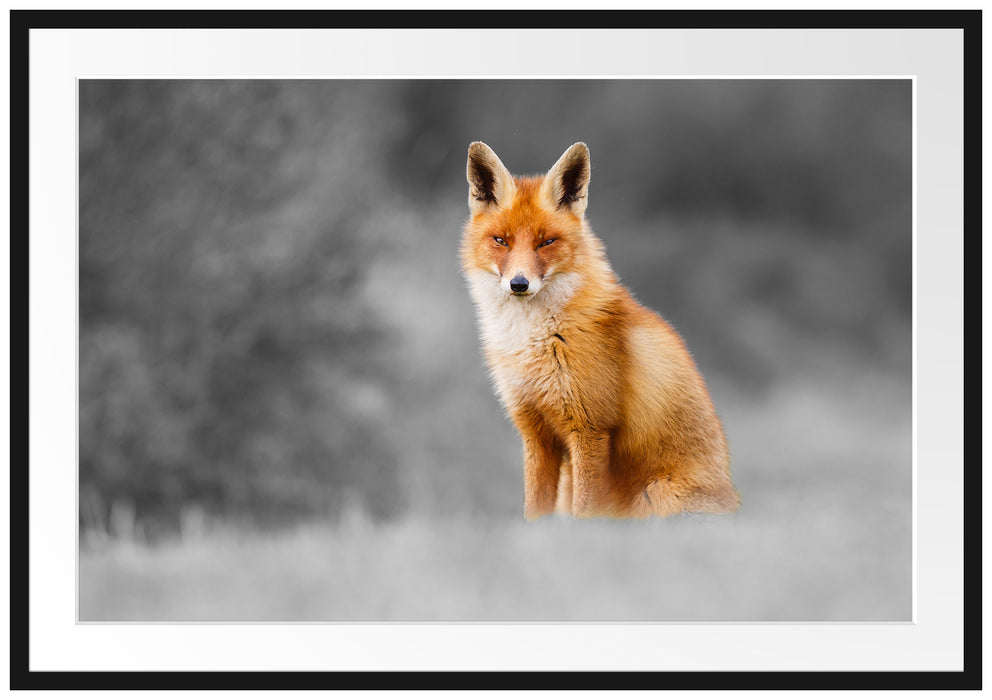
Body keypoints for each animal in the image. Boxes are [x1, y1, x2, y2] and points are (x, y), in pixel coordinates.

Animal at [461, 141, 739, 520]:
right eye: (501, 240)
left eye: (546, 242)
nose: (519, 284)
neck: (534, 341)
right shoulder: (536, 433)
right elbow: (534, 512)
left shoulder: (590, 429)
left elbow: (585, 513)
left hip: (656, 495)